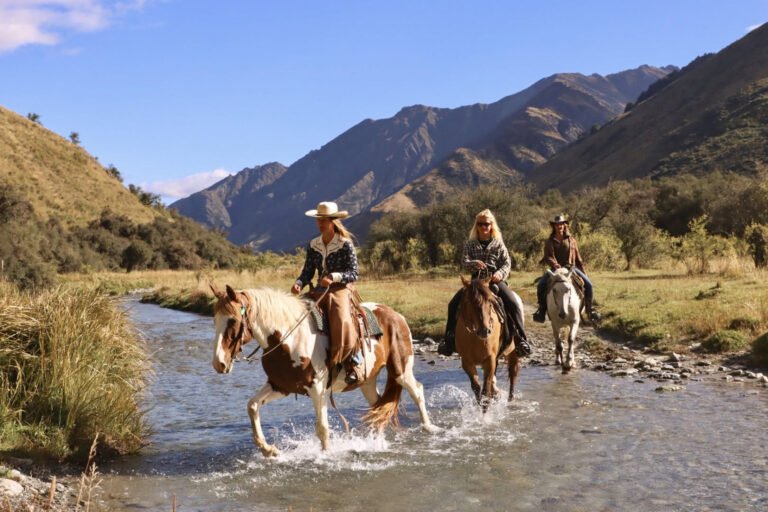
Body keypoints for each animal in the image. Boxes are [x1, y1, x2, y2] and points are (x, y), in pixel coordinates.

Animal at [210, 284, 439, 457]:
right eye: (214, 320)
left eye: (232, 320)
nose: (219, 363)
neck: (290, 338)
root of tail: (397, 315)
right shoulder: (281, 386)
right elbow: (252, 406)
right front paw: (268, 450)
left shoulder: (317, 389)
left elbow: (322, 428)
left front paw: (326, 456)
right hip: (367, 381)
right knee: (378, 406)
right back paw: (376, 439)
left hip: (401, 370)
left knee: (417, 391)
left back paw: (429, 427)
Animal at [454, 277, 521, 408]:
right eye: (470, 302)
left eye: (490, 303)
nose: (485, 331)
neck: (475, 338)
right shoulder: (467, 362)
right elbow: (476, 388)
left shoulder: (490, 360)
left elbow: (485, 391)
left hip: (513, 352)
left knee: (513, 374)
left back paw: (510, 400)